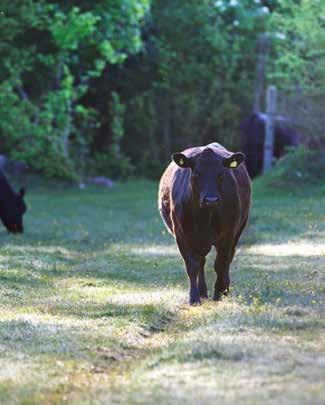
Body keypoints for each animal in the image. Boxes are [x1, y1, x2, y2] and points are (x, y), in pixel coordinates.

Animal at [157, 142, 251, 304]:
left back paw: (224, 289)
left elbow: (220, 264)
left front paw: (219, 294)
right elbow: (192, 266)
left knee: (228, 260)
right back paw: (202, 292)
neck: (204, 218)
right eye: (196, 175)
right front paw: (194, 298)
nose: (211, 200)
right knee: (201, 262)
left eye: (221, 174)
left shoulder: (228, 233)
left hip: (239, 229)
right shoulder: (181, 234)